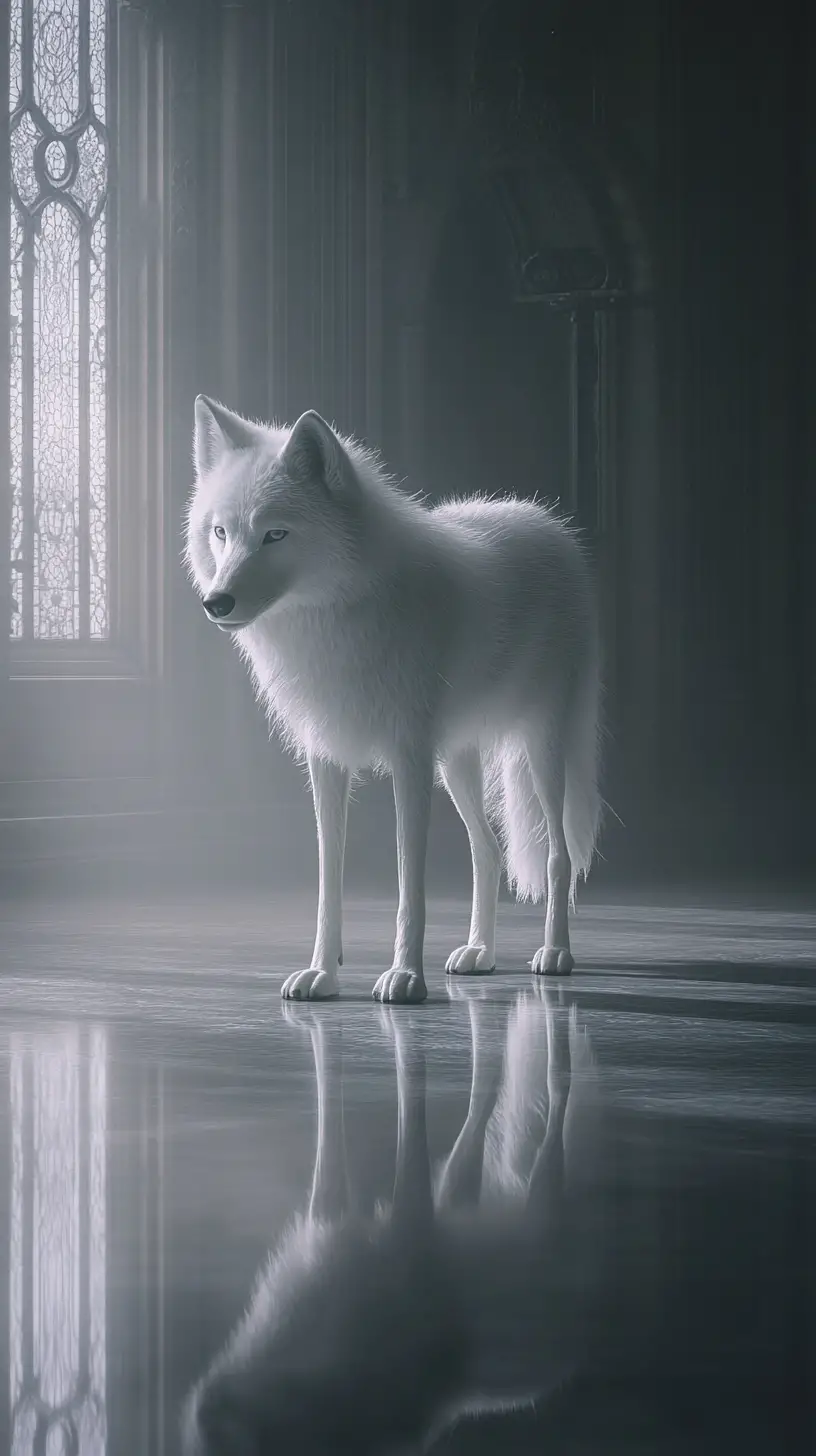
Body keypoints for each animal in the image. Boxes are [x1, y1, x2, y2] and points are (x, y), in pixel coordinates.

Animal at [182, 986, 602, 1454]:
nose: (204, 1402)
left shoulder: (409, 1225)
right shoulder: (332, 1225)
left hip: (540, 1186)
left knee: (555, 1101)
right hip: (456, 1190)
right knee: (482, 1101)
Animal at [185, 398, 602, 1003]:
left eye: (275, 535)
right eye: (221, 532)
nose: (216, 602)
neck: (337, 616)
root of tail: (552, 527)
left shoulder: (410, 761)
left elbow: (410, 888)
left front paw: (405, 977)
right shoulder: (327, 759)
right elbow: (327, 882)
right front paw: (323, 972)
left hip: (539, 751)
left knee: (557, 855)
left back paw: (556, 954)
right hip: (456, 764)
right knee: (488, 850)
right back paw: (480, 953)